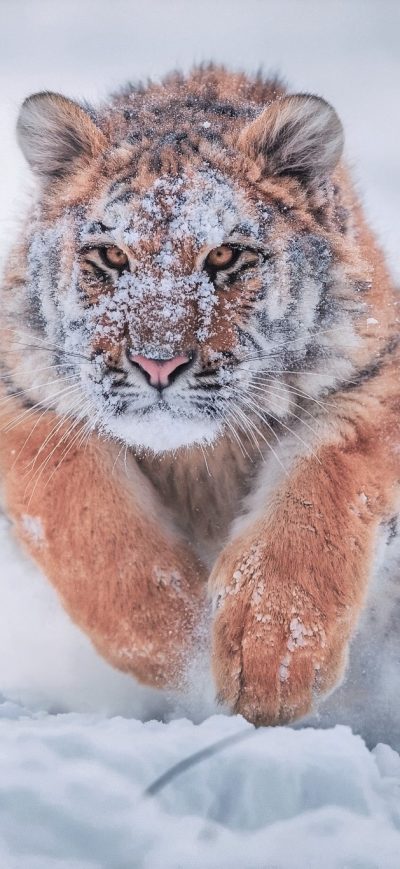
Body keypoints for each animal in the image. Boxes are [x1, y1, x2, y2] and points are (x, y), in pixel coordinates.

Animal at [0, 65, 399, 732]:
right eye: (111, 256)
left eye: (224, 255)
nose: (157, 362)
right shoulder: (27, 403)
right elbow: (91, 526)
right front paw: (180, 644)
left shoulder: (368, 386)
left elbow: (317, 500)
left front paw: (271, 660)